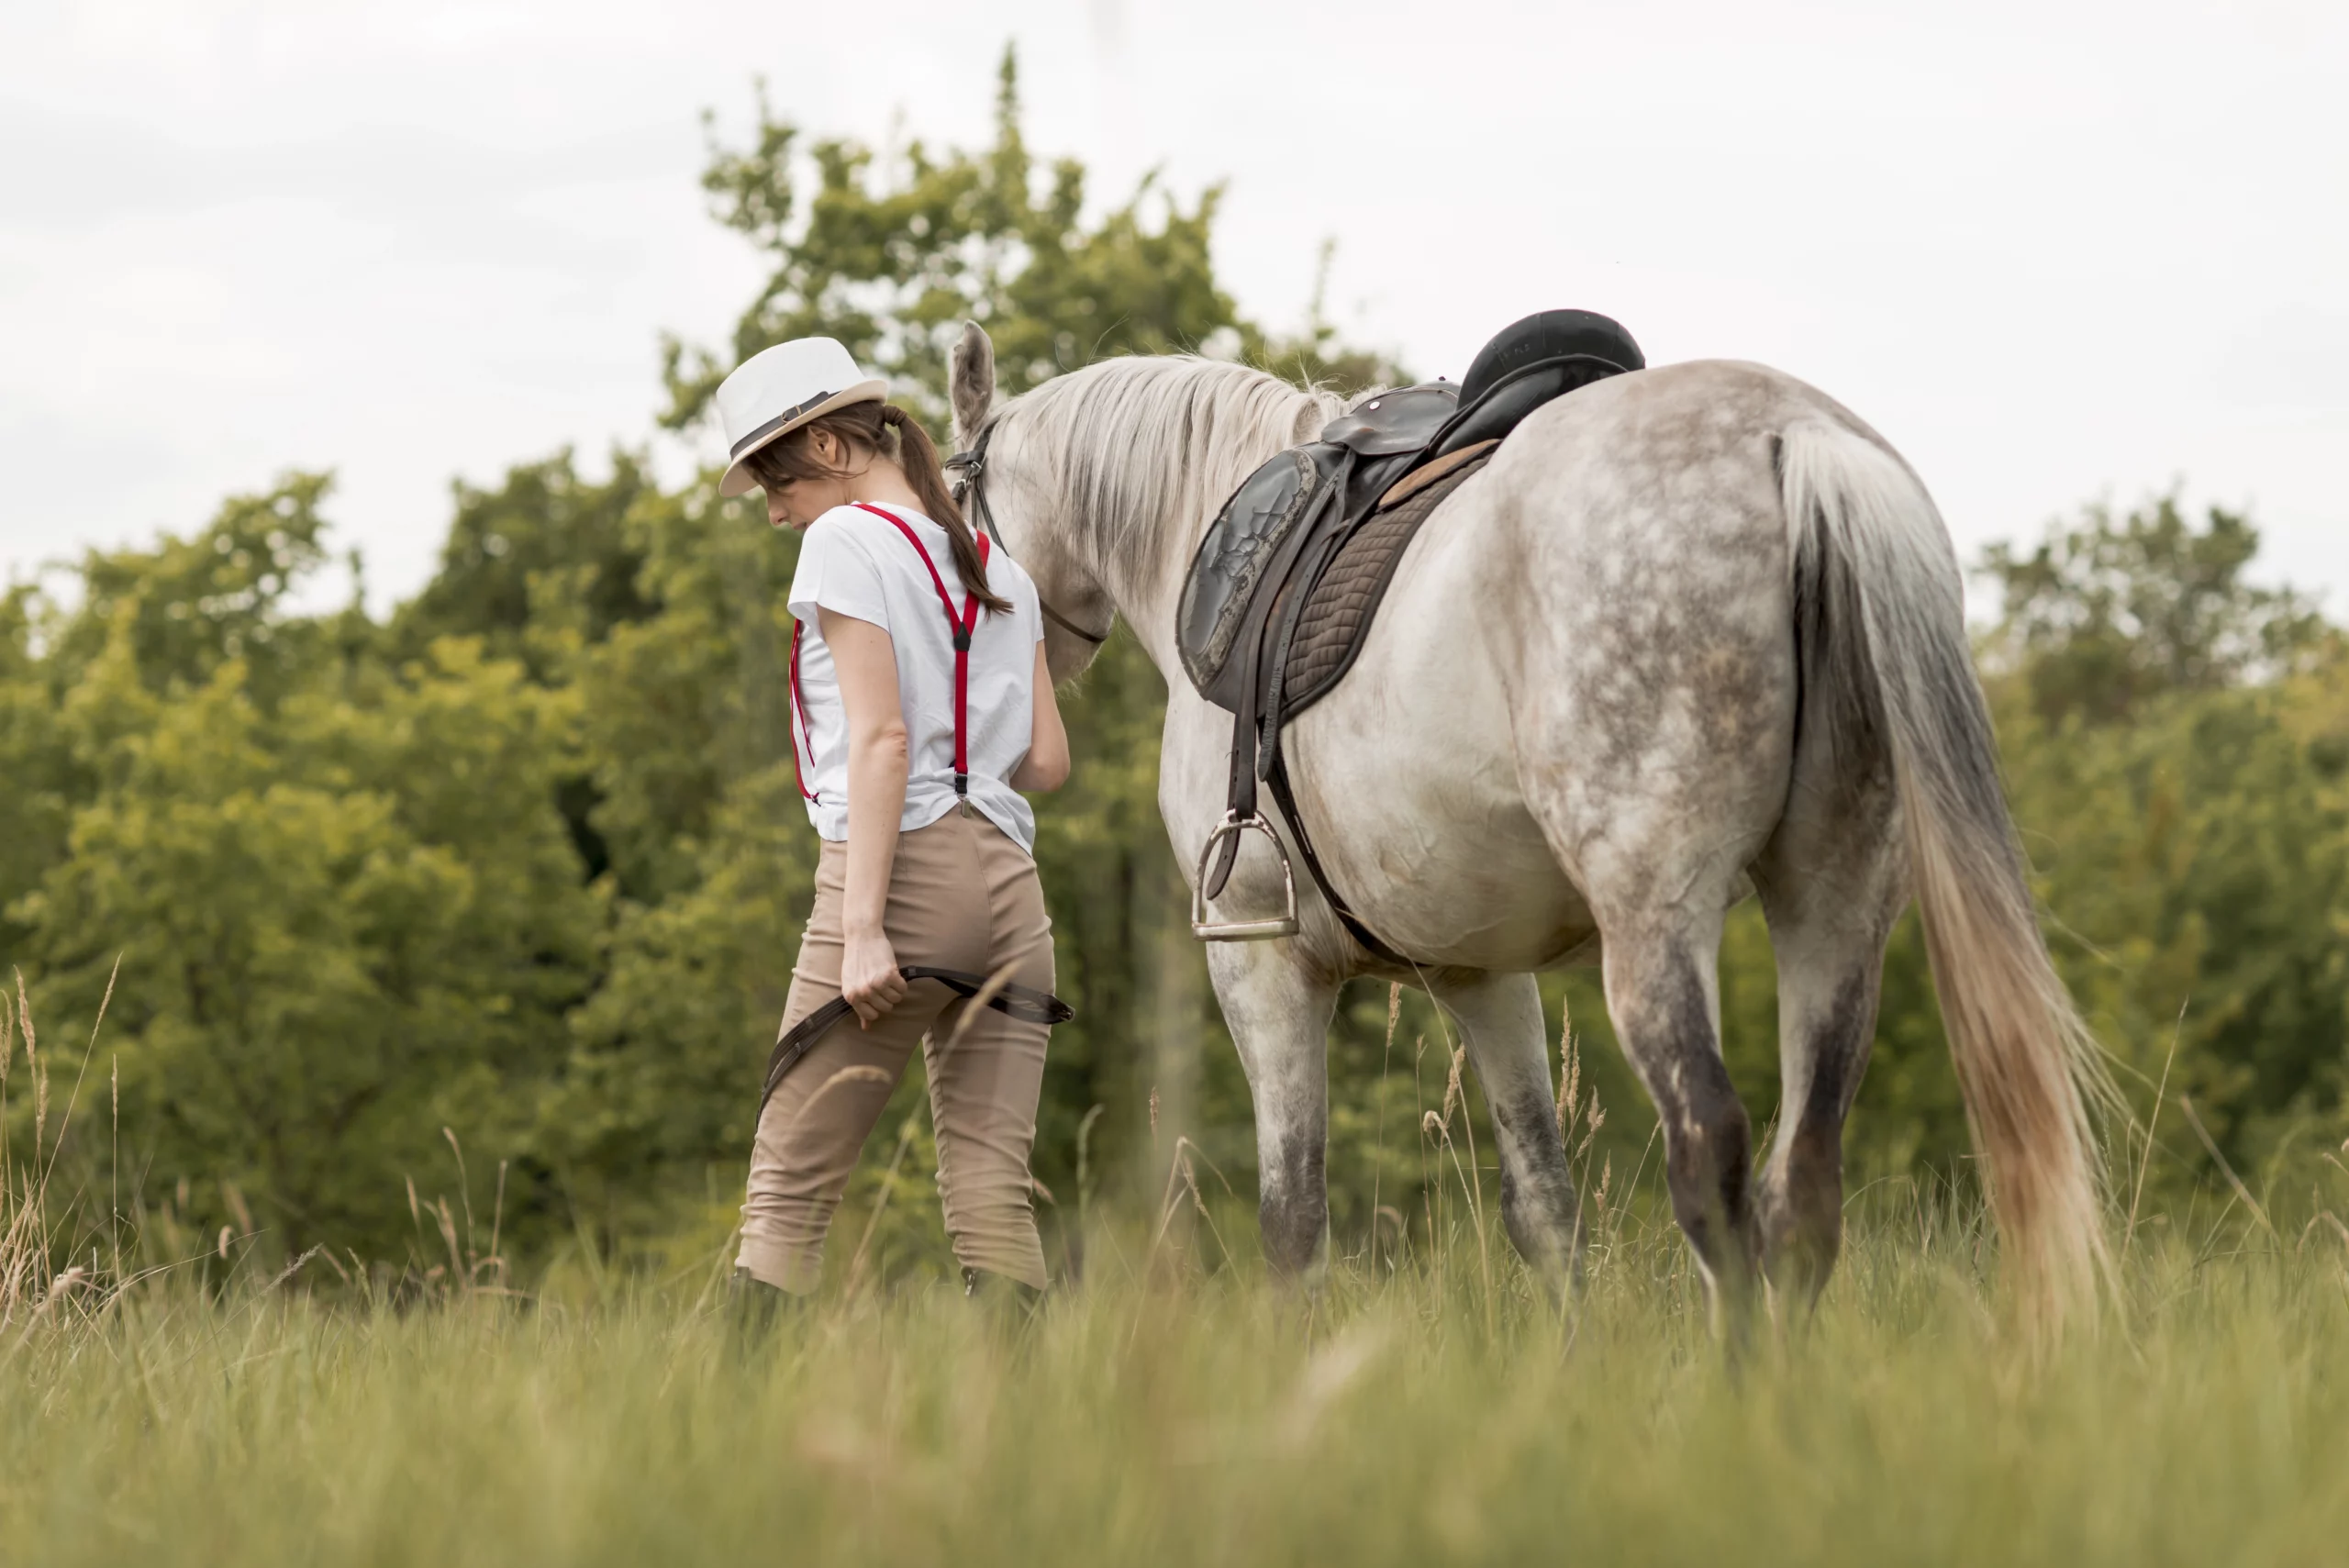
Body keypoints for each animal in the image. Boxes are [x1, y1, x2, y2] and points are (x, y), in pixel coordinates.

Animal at [946, 321, 2111, 1332]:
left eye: (950, 510)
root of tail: (1794, 438)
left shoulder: (1259, 961)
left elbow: (1293, 1218)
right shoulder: (1483, 973)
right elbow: (1544, 1206)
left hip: (1657, 917)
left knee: (1712, 1153)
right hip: (1836, 902)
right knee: (1803, 1178)